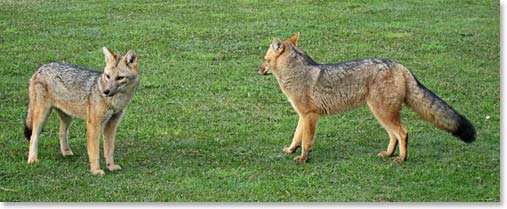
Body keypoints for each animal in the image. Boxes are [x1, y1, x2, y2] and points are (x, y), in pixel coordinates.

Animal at [23, 47, 140, 175]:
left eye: (120, 78)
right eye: (107, 76)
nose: (106, 91)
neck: (115, 102)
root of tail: (41, 67)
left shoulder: (111, 125)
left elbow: (109, 150)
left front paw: (111, 166)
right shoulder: (94, 125)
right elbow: (94, 152)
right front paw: (96, 170)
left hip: (68, 118)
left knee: (61, 132)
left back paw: (66, 152)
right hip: (42, 115)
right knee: (33, 137)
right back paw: (32, 159)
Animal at [258, 33, 476, 163]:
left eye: (265, 59)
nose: (257, 69)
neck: (297, 73)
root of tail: (400, 66)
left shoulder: (311, 116)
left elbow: (306, 141)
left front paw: (303, 158)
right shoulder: (303, 116)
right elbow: (297, 137)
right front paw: (290, 150)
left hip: (383, 112)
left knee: (403, 133)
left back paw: (401, 158)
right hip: (380, 113)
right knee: (394, 135)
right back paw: (389, 154)